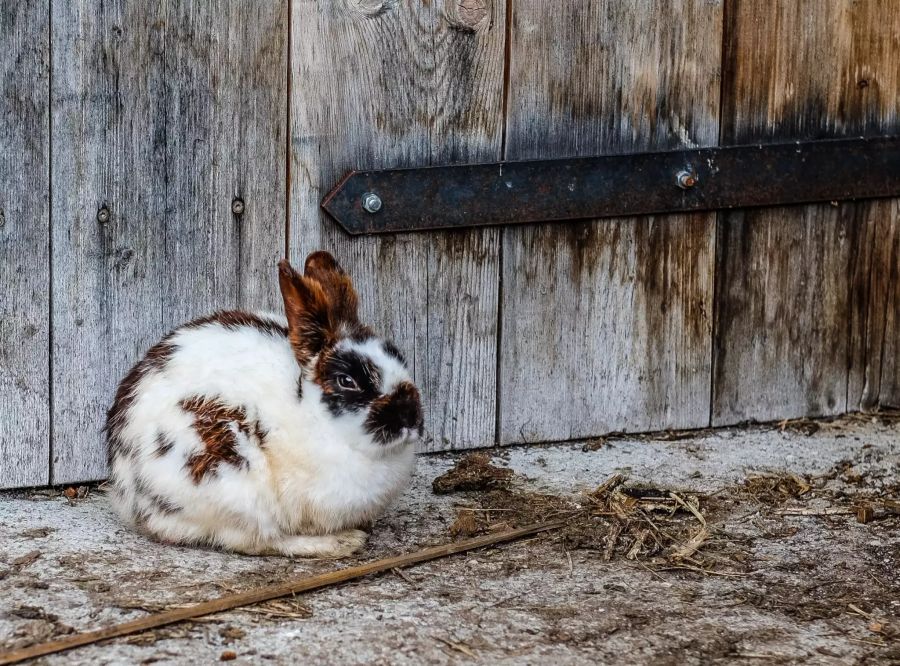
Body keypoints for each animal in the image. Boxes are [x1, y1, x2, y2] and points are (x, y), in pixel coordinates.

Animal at [106, 250, 426, 556]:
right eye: (347, 381)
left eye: (399, 357)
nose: (410, 417)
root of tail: (130, 495)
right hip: (231, 480)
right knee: (259, 540)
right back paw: (339, 543)